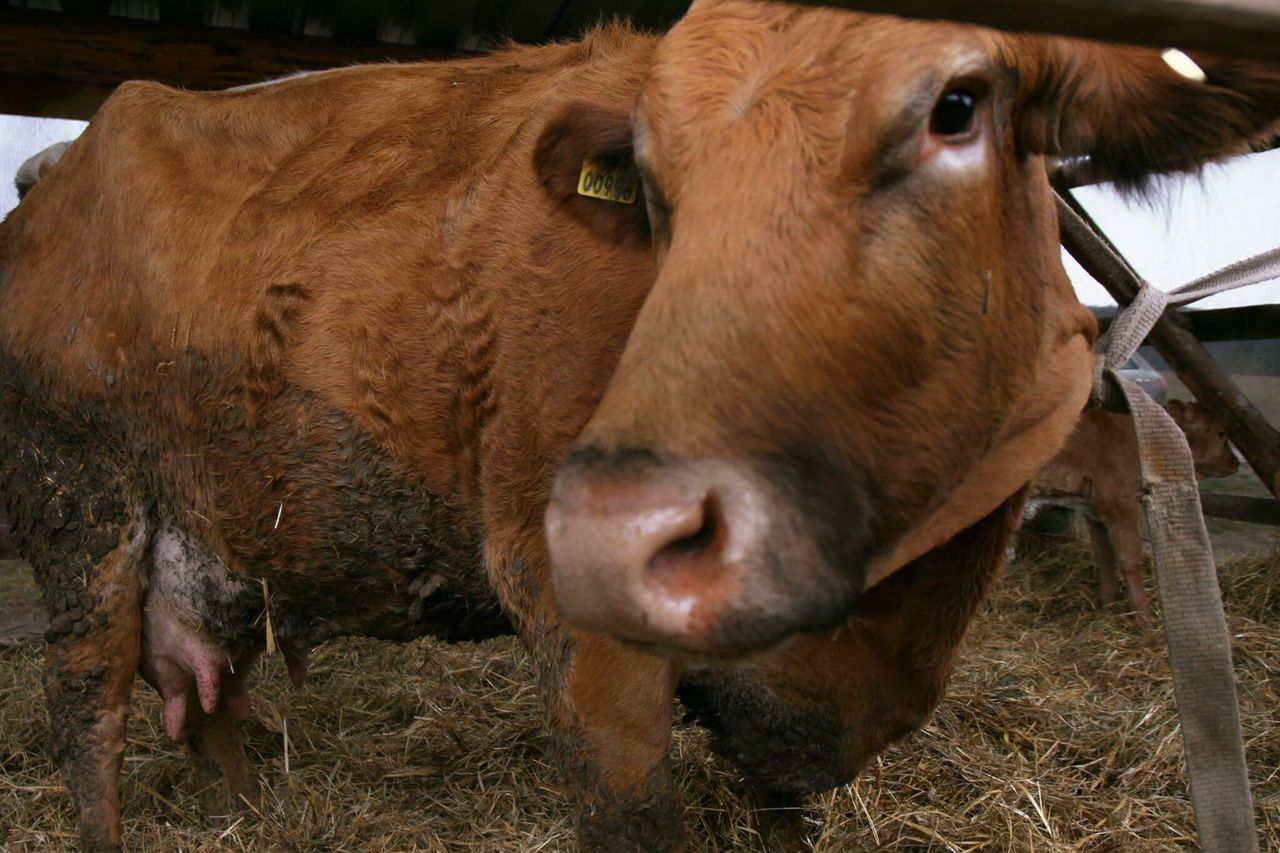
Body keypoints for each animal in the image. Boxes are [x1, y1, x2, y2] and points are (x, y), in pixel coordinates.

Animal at [1029, 394, 1239, 614]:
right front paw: (1143, 613)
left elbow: (1104, 556)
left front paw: (1107, 604)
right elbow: (1129, 557)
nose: (1235, 462)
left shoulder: (1092, 509)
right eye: (1221, 432)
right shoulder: (1120, 501)